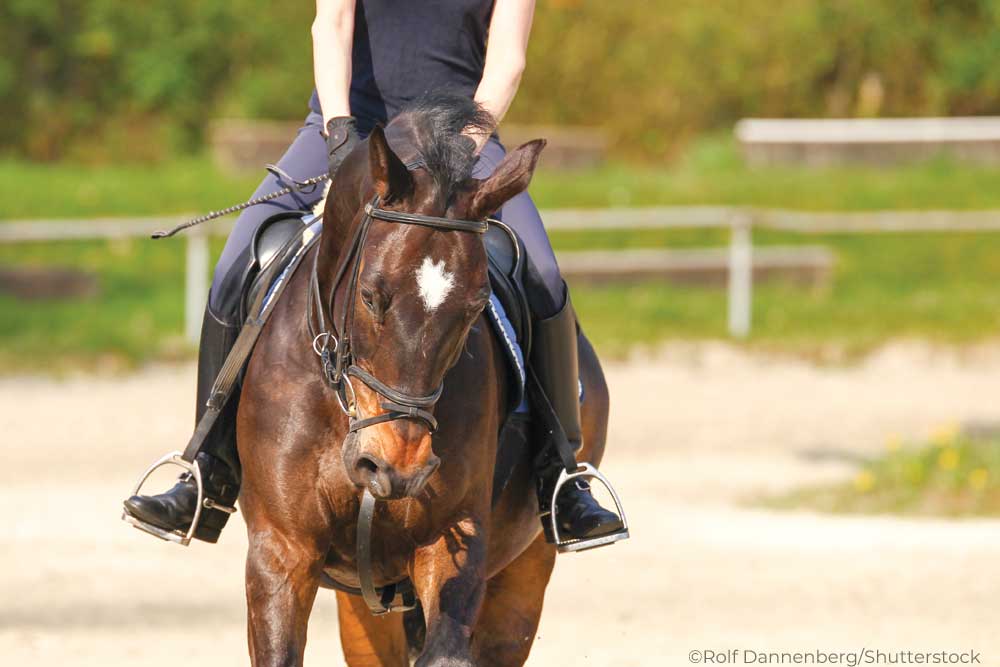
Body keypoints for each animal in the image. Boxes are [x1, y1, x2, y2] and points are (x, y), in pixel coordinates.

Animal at [236, 95, 608, 667]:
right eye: (370, 295)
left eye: (476, 307)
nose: (399, 463)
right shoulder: (280, 550)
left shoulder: (453, 541)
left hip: (524, 574)